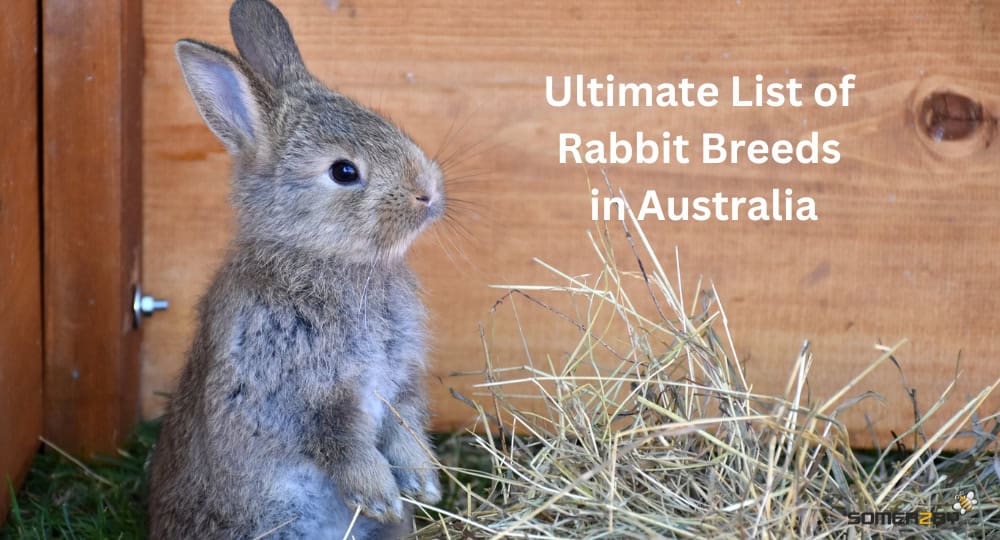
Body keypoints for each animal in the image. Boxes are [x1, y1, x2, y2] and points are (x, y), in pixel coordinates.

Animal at [147, 0, 445, 538]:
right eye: (344, 172)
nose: (428, 191)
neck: (321, 258)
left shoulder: (402, 382)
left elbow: (405, 423)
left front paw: (423, 484)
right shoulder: (290, 391)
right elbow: (339, 441)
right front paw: (381, 496)